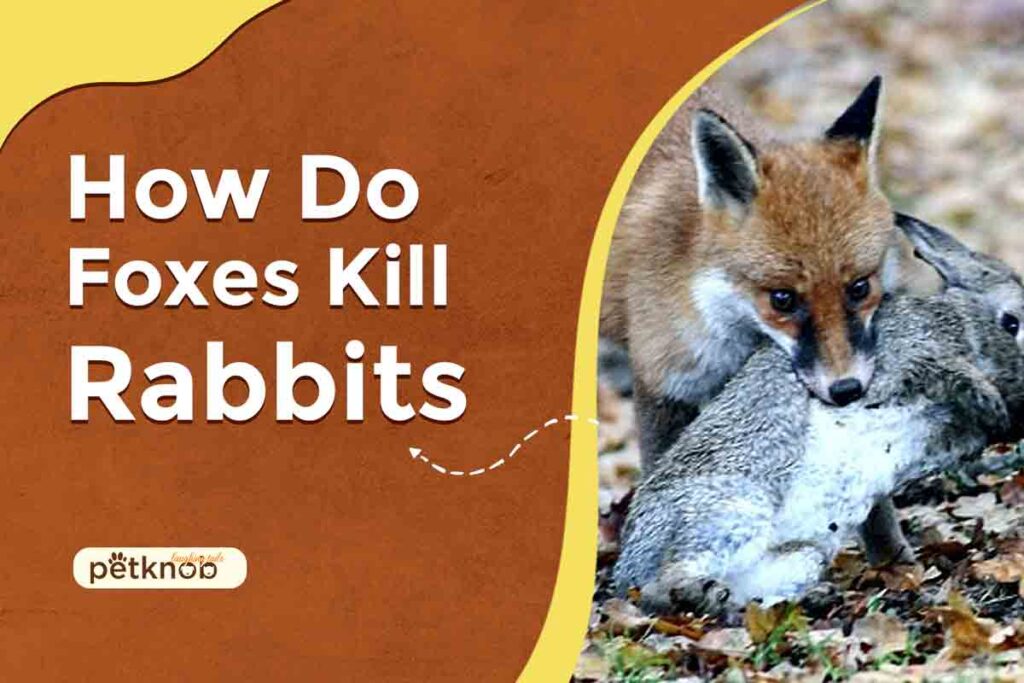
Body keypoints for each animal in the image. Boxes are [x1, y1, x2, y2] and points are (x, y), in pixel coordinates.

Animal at [613, 214, 1024, 615]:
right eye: (1012, 322)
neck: (965, 324)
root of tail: (626, 569)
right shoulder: (903, 363)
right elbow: (951, 372)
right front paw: (993, 403)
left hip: (800, 555)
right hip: (729, 511)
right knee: (659, 586)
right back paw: (695, 595)